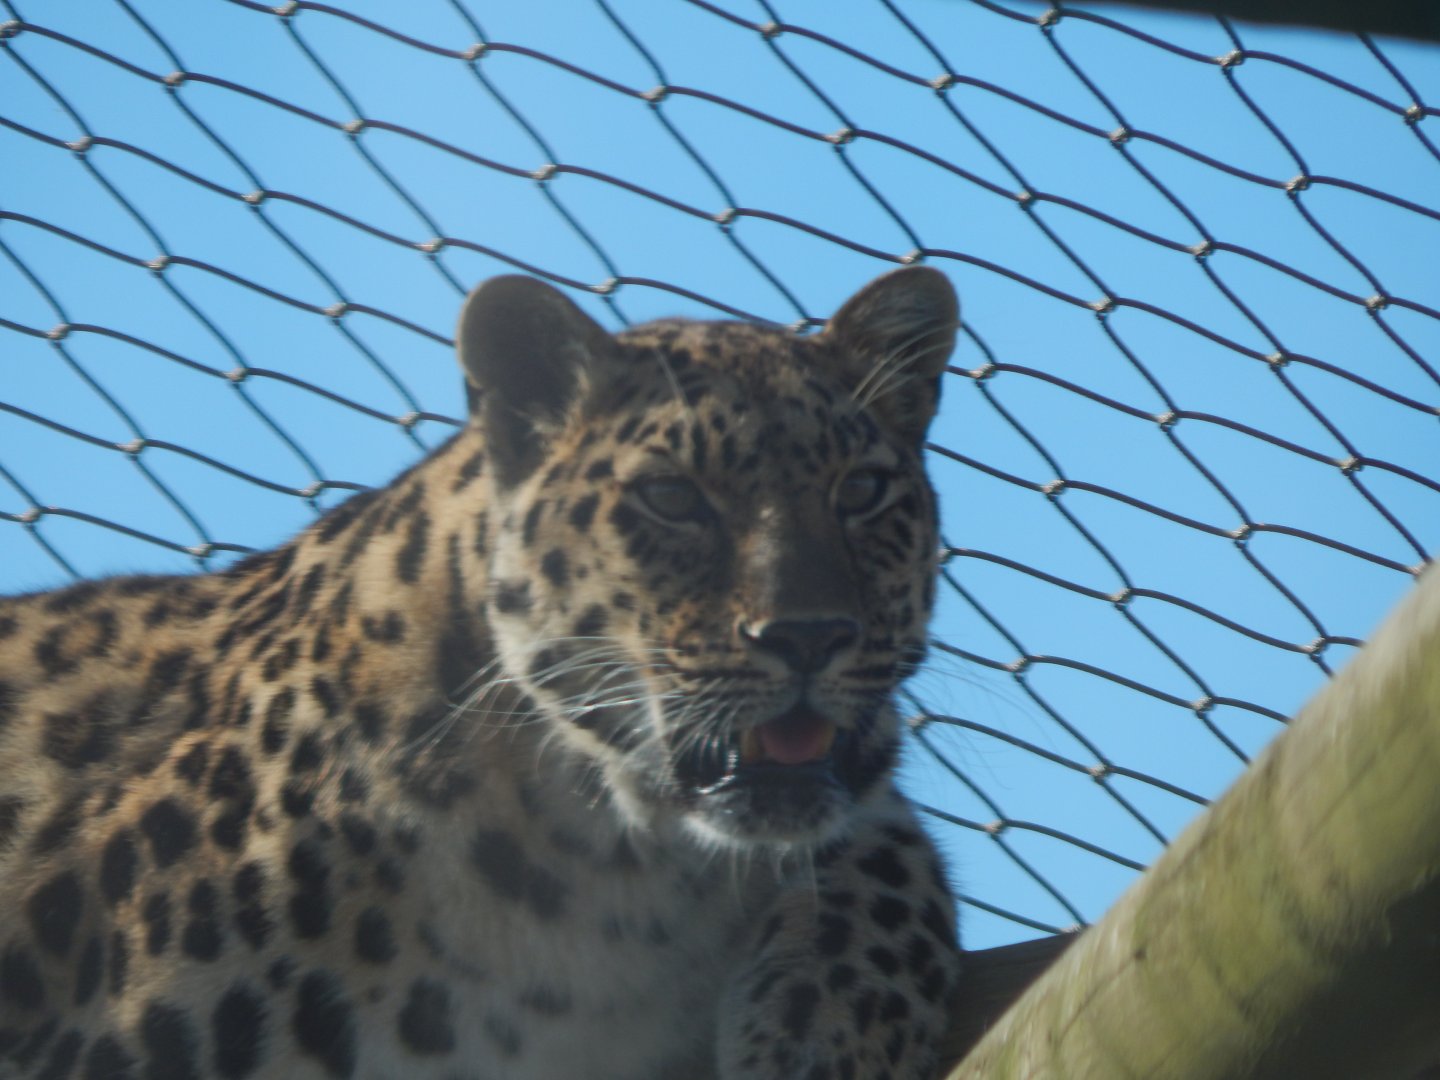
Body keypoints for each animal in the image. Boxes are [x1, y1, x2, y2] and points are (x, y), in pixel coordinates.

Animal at [0, 266, 963, 1079]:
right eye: (673, 498)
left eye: (862, 491)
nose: (810, 636)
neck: (615, 880)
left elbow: (888, 862)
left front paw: (820, 1029)